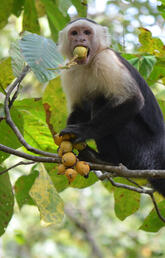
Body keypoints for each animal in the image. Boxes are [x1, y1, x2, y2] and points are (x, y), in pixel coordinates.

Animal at [57, 18, 165, 196]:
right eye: (74, 33)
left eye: (87, 32)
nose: (81, 39)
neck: (88, 63)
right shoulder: (69, 70)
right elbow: (79, 109)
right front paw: (66, 144)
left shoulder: (106, 59)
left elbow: (133, 100)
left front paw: (84, 131)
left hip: (144, 152)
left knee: (101, 102)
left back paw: (107, 159)